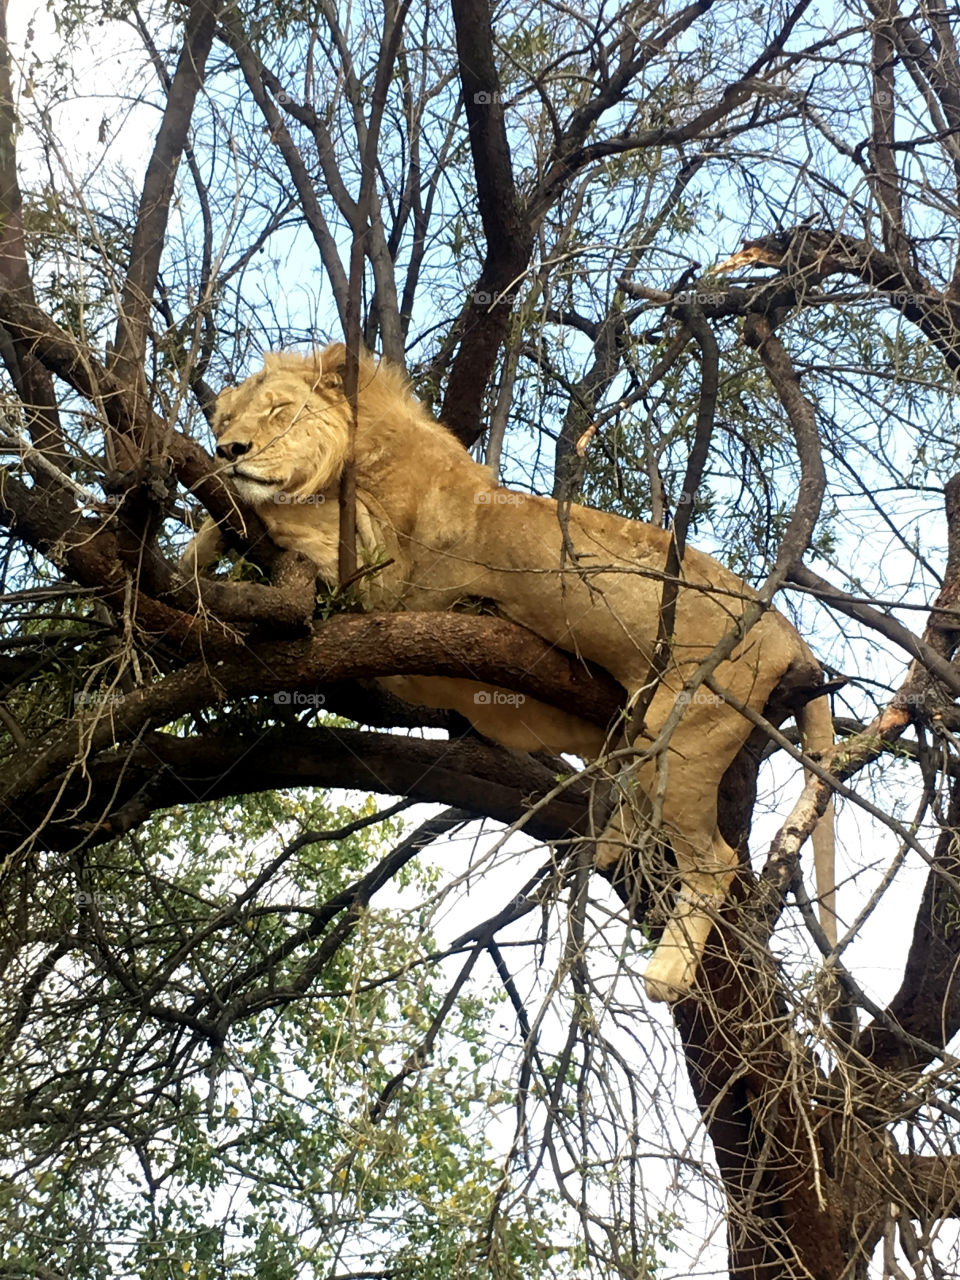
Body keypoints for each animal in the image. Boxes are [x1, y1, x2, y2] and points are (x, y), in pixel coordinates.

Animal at [183, 345, 836, 1002]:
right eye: (228, 418)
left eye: (281, 412)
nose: (228, 449)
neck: (368, 457)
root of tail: (790, 634)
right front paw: (194, 547)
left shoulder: (383, 582)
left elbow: (279, 513)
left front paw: (230, 507)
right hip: (640, 725)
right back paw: (610, 844)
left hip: (686, 729)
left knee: (714, 858)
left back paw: (666, 973)